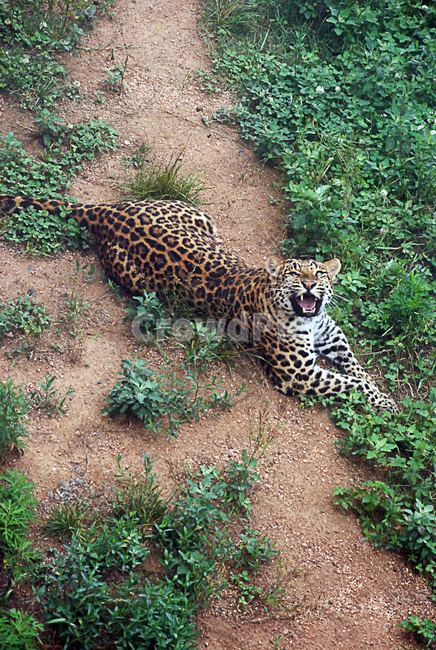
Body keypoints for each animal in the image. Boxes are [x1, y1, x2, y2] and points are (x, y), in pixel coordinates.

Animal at [0, 193, 397, 414]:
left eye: (320, 273)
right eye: (294, 273)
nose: (311, 284)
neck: (308, 320)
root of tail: (111, 211)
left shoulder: (330, 333)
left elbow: (355, 367)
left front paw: (377, 387)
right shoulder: (296, 375)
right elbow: (349, 384)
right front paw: (385, 402)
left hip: (201, 217)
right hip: (141, 275)